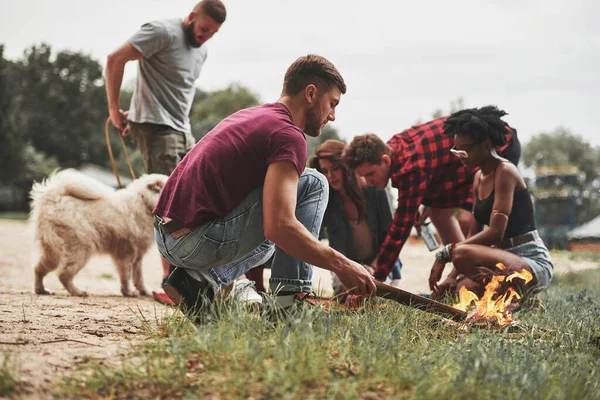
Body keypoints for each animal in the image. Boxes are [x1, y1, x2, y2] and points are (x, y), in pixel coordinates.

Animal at [29, 170, 168, 296]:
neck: (145, 202)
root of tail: (54, 198)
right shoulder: (127, 254)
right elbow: (126, 276)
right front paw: (128, 292)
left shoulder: (138, 256)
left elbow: (138, 277)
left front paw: (143, 291)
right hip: (79, 251)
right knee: (63, 274)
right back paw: (77, 292)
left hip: (52, 254)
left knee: (38, 269)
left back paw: (41, 290)